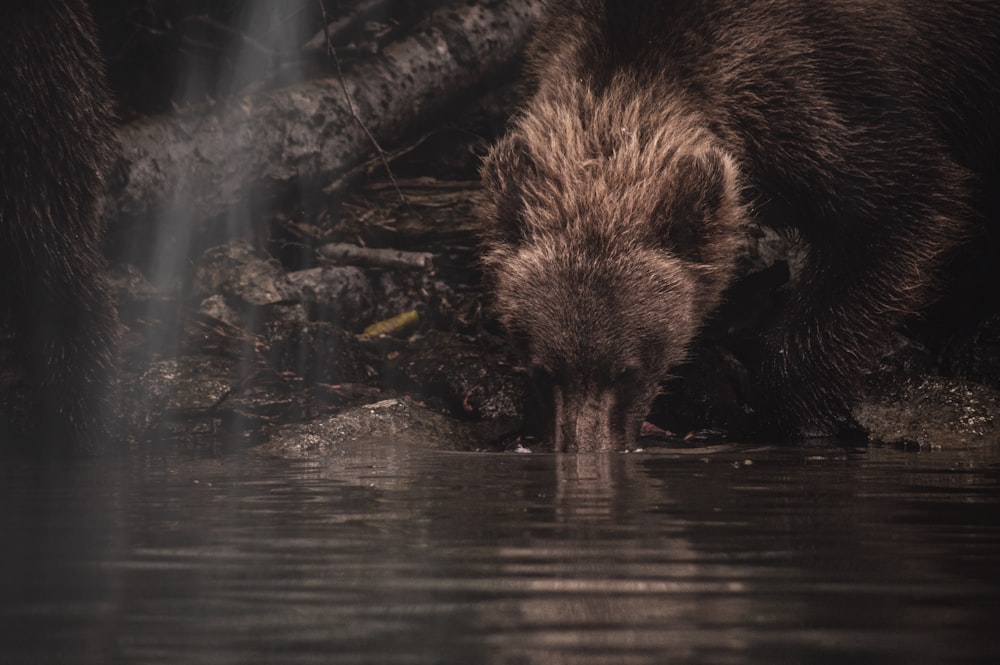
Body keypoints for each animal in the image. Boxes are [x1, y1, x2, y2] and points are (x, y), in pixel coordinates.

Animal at [480, 0, 996, 452]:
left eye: (629, 369)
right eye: (543, 368)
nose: (585, 448)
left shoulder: (825, 90)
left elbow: (903, 206)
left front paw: (802, 410)